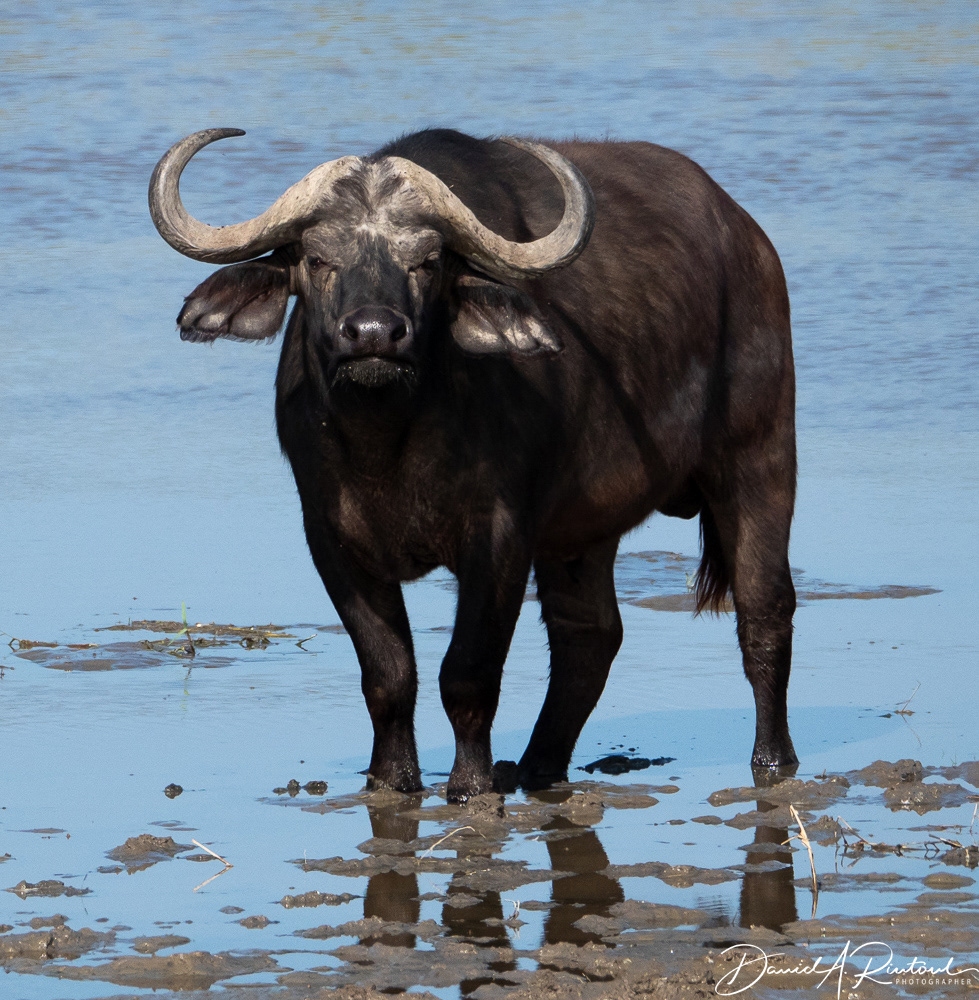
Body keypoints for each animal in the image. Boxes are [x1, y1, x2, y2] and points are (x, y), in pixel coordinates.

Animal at [149, 127, 798, 802]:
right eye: (319, 259)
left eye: (427, 262)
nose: (373, 333)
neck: (388, 440)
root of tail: (747, 238)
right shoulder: (331, 538)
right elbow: (388, 674)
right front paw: (392, 779)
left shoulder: (500, 536)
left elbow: (467, 672)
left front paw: (469, 784)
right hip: (582, 530)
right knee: (588, 637)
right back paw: (538, 766)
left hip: (760, 456)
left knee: (764, 612)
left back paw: (772, 761)